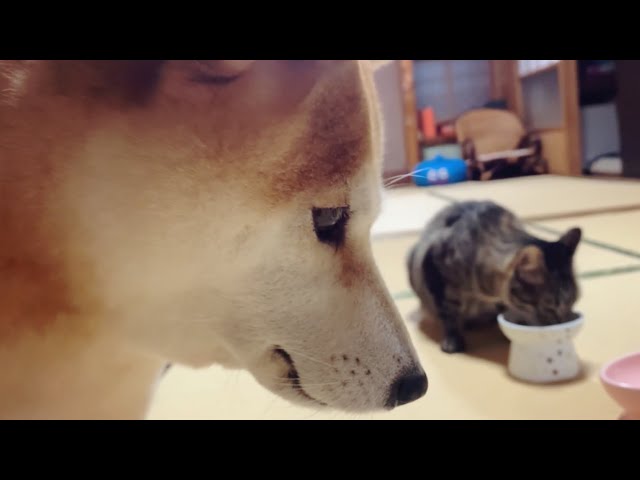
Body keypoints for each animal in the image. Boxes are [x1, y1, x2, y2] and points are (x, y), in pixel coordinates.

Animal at [408, 199, 584, 352]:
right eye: (551, 308)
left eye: (572, 302)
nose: (563, 323)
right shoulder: (436, 275)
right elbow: (448, 313)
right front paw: (453, 339)